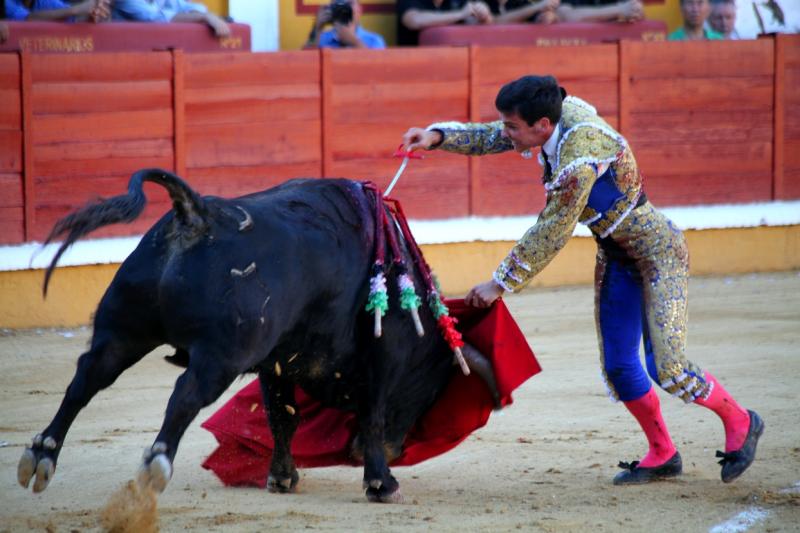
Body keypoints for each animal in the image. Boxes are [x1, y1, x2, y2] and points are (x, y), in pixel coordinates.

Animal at [15, 168, 496, 500]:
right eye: (430, 391)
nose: (397, 450)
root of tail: (196, 213)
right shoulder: (383, 355)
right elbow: (370, 413)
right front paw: (381, 481)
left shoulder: (276, 360)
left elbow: (281, 416)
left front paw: (282, 477)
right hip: (221, 354)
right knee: (185, 393)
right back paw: (155, 464)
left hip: (122, 332)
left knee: (86, 379)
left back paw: (42, 455)